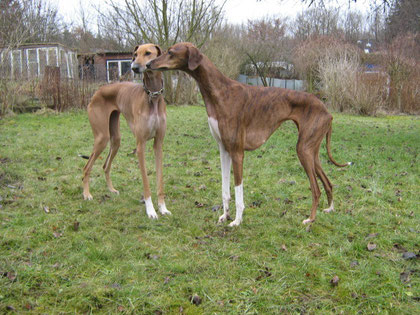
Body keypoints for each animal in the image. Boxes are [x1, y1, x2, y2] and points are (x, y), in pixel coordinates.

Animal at [82, 43, 171, 218]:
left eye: (148, 53)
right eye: (135, 55)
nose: (134, 67)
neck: (152, 96)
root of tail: (97, 91)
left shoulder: (158, 144)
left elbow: (160, 180)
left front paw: (163, 208)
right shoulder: (141, 145)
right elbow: (146, 183)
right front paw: (151, 211)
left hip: (115, 139)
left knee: (105, 166)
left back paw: (111, 190)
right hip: (102, 138)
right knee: (86, 167)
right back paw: (87, 194)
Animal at [146, 42, 350, 227]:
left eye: (170, 52)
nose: (148, 64)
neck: (220, 93)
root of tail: (327, 112)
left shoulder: (237, 152)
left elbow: (238, 193)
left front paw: (236, 221)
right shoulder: (224, 150)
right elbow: (225, 190)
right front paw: (225, 216)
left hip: (303, 150)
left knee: (316, 189)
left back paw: (311, 219)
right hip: (312, 151)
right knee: (328, 183)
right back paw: (330, 209)